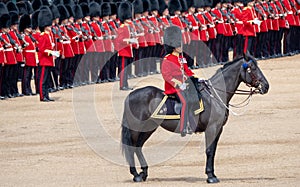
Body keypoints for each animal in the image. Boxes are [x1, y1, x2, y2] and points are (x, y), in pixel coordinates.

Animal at [121, 55, 270, 183]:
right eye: (252, 68)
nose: (266, 86)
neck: (215, 95)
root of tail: (131, 95)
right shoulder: (211, 128)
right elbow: (209, 151)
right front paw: (210, 176)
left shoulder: (218, 129)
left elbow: (213, 151)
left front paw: (213, 174)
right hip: (136, 128)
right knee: (132, 147)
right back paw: (136, 174)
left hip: (148, 128)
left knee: (138, 147)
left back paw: (143, 173)